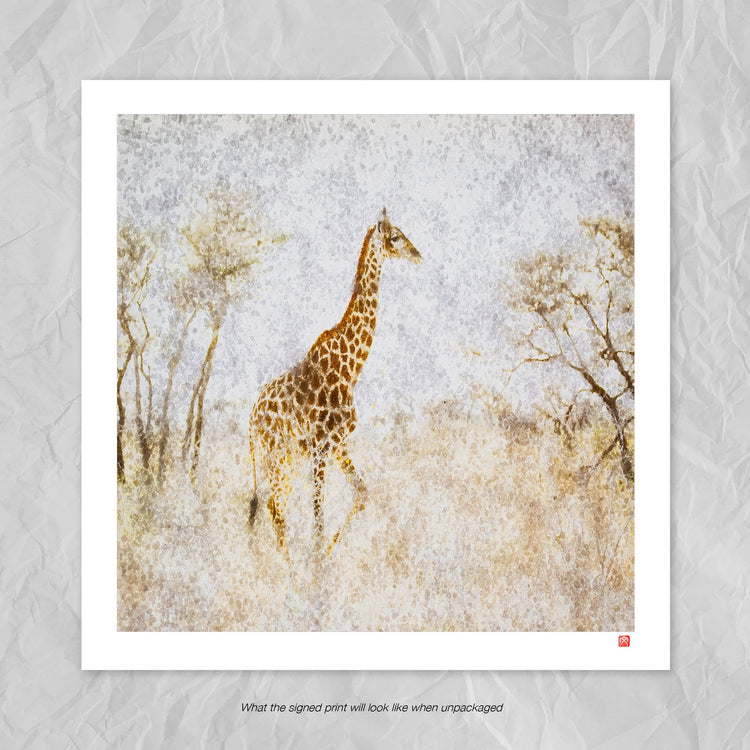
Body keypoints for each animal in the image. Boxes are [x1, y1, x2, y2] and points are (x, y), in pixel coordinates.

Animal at [248, 208, 421, 556]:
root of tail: (250, 419)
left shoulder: (339, 445)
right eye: (395, 237)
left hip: (283, 459)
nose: (418, 255)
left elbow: (362, 493)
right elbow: (318, 519)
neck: (350, 371)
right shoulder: (320, 447)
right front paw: (317, 562)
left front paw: (328, 556)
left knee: (271, 509)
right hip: (277, 457)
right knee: (275, 510)